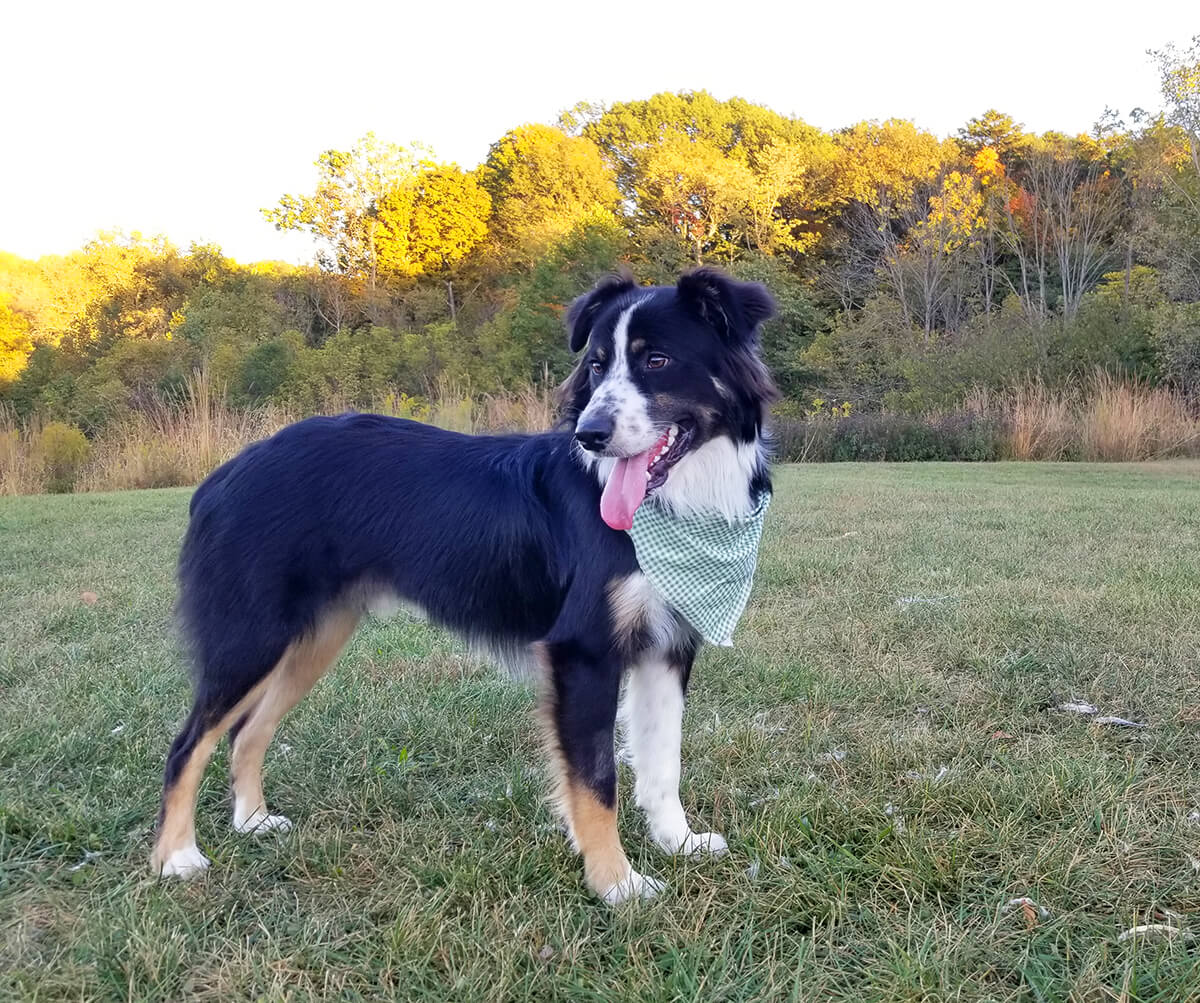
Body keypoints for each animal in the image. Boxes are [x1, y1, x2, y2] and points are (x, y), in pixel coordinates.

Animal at [150, 263, 777, 902]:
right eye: (598, 365)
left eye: (657, 361)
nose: (590, 434)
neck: (675, 504)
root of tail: (225, 473)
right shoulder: (583, 651)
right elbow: (596, 781)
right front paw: (616, 883)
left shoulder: (668, 645)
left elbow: (661, 760)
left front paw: (678, 843)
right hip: (252, 637)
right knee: (187, 745)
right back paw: (175, 857)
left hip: (311, 639)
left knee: (246, 733)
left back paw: (252, 822)